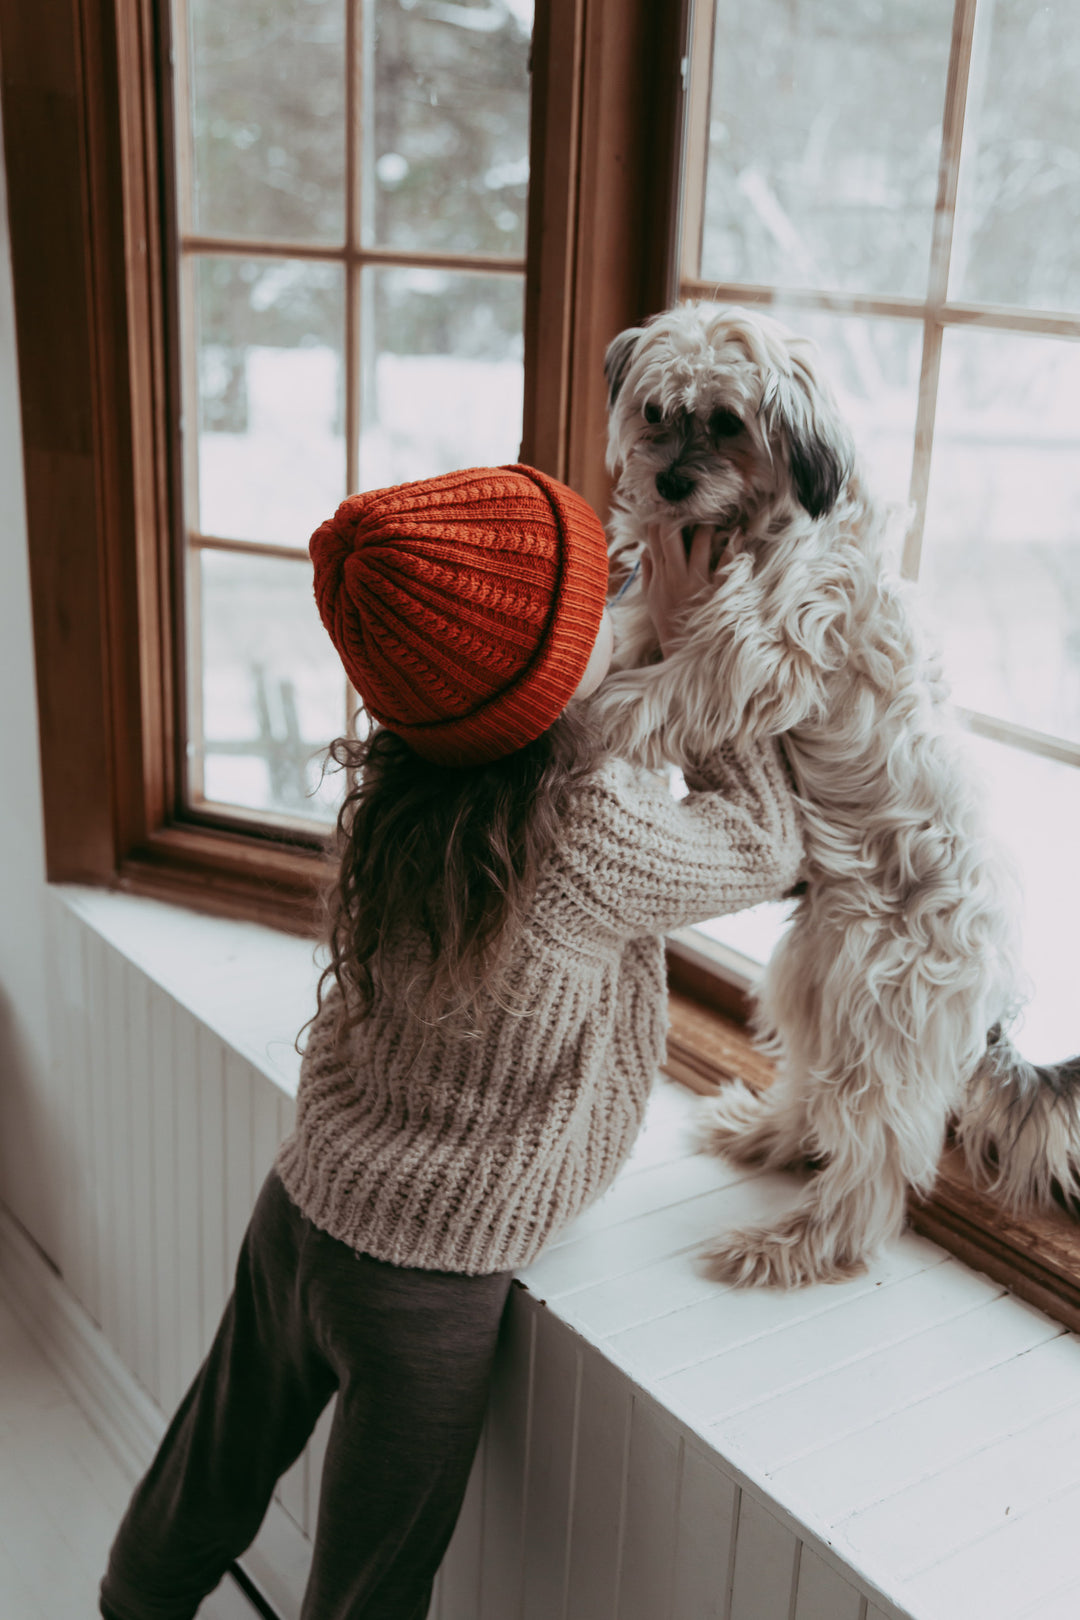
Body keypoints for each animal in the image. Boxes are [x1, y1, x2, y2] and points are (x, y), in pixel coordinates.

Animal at [592, 301, 1080, 1289]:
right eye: (658, 409)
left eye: (727, 422)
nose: (668, 482)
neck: (757, 522)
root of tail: (995, 981)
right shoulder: (676, 610)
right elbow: (638, 636)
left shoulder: (760, 648)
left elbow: (674, 681)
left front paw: (609, 717)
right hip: (816, 972)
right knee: (814, 1090)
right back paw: (765, 1136)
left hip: (880, 1007)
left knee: (876, 1160)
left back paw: (797, 1245)